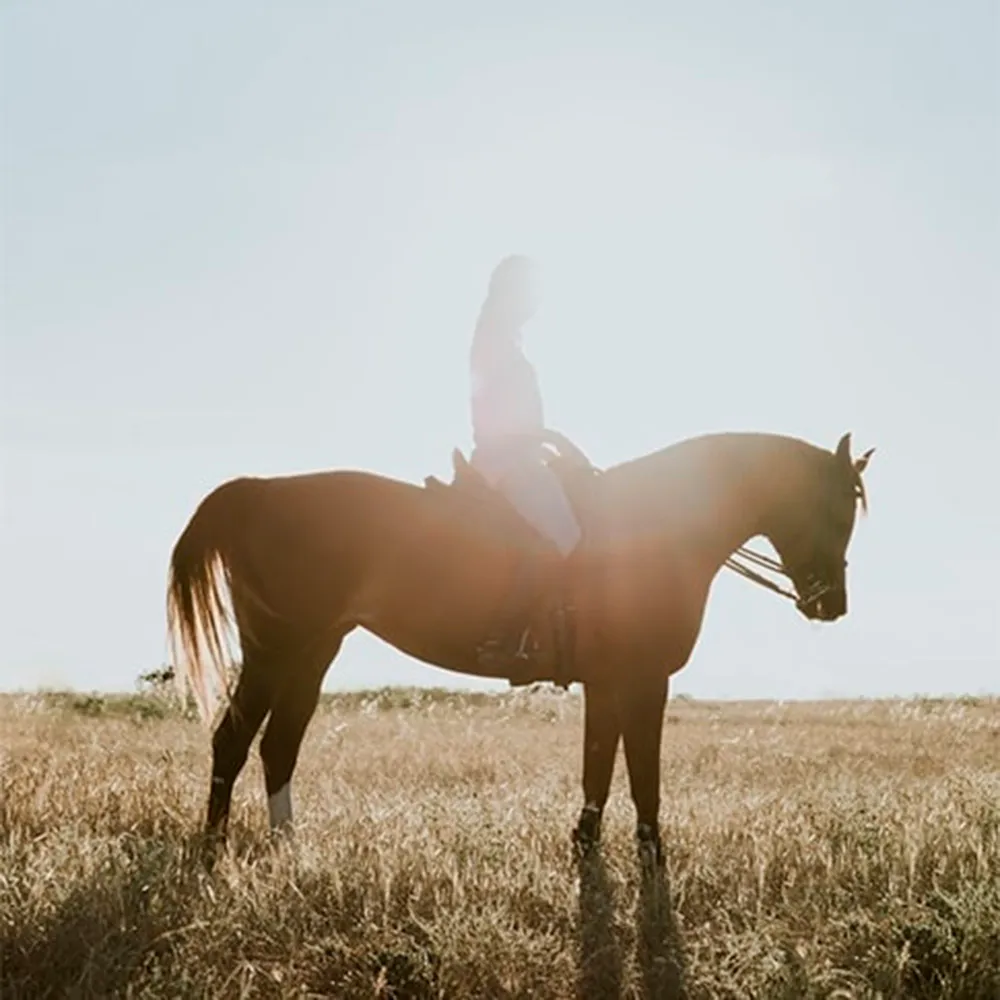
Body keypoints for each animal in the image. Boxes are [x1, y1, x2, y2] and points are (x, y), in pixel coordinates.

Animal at [168, 428, 872, 860]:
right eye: (839, 508)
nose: (831, 605)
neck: (653, 527)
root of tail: (260, 488)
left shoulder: (608, 683)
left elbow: (599, 766)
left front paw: (586, 846)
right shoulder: (644, 681)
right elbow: (642, 773)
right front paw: (652, 855)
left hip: (312, 653)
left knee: (278, 744)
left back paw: (287, 846)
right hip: (276, 650)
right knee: (233, 739)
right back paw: (213, 848)